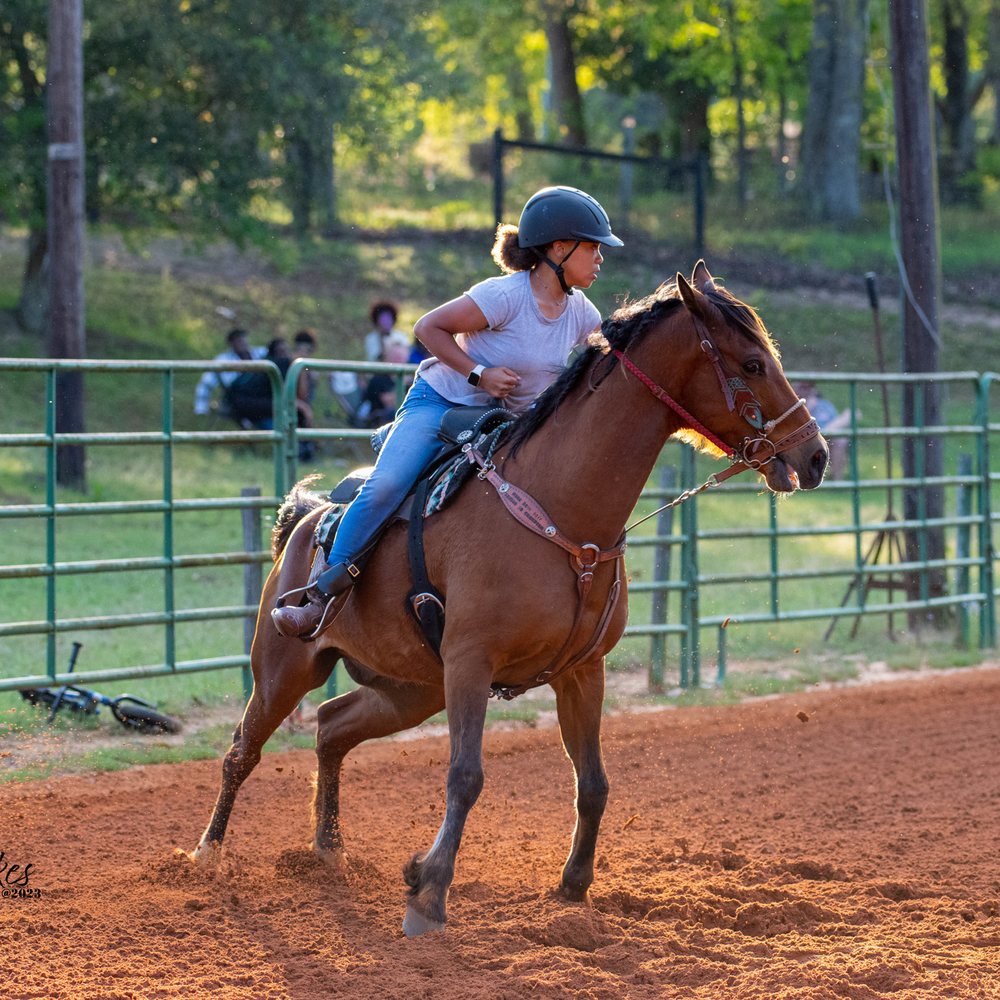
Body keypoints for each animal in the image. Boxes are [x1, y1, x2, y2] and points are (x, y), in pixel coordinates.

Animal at [193, 261, 829, 936]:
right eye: (752, 363)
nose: (814, 455)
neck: (562, 512)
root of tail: (311, 516)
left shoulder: (582, 670)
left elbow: (593, 782)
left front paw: (573, 885)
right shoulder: (471, 663)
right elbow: (465, 775)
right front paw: (428, 892)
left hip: (412, 689)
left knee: (331, 728)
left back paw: (329, 850)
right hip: (285, 666)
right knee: (242, 751)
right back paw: (206, 856)